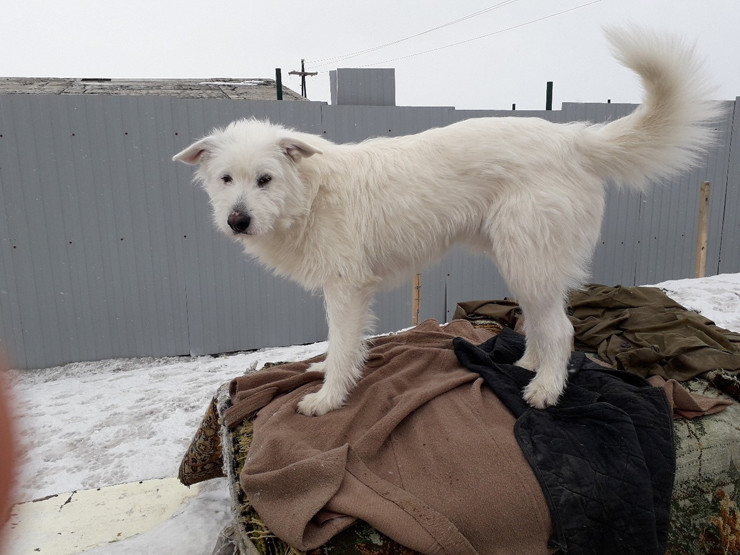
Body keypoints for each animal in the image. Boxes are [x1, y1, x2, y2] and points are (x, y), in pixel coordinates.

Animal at [174, 27, 718, 416]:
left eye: (264, 179)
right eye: (226, 179)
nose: (237, 220)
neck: (310, 194)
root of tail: (570, 139)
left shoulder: (346, 288)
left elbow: (344, 344)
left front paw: (328, 399)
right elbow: (340, 347)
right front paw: (328, 374)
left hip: (528, 258)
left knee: (563, 330)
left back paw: (546, 389)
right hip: (525, 260)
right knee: (543, 324)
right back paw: (529, 366)